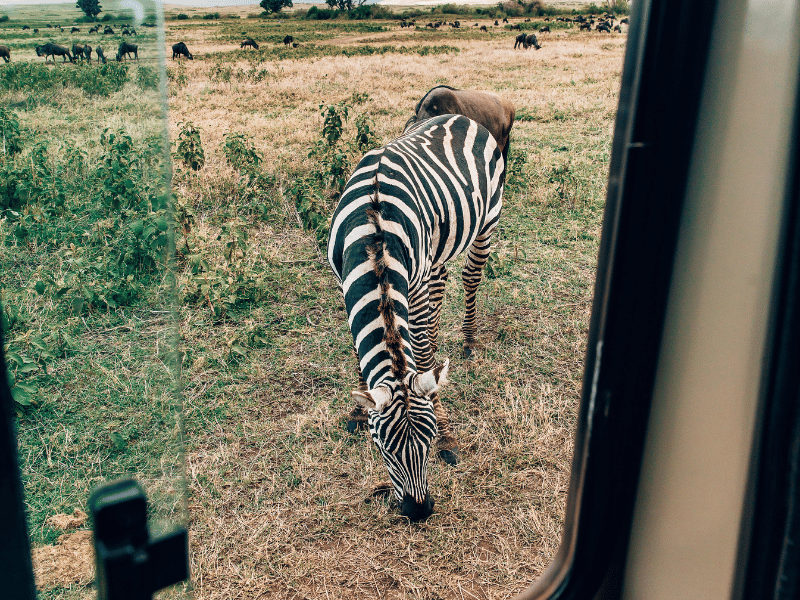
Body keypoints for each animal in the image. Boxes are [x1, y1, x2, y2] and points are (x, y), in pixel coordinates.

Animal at [327, 114, 506, 520]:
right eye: (383, 449)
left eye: (429, 441)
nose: (419, 511)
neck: (374, 239)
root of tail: (457, 117)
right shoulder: (344, 283)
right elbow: (364, 352)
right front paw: (359, 404)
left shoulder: (415, 281)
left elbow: (421, 349)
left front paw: (441, 414)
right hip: (438, 248)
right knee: (441, 289)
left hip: (487, 221)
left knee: (470, 276)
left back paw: (468, 339)